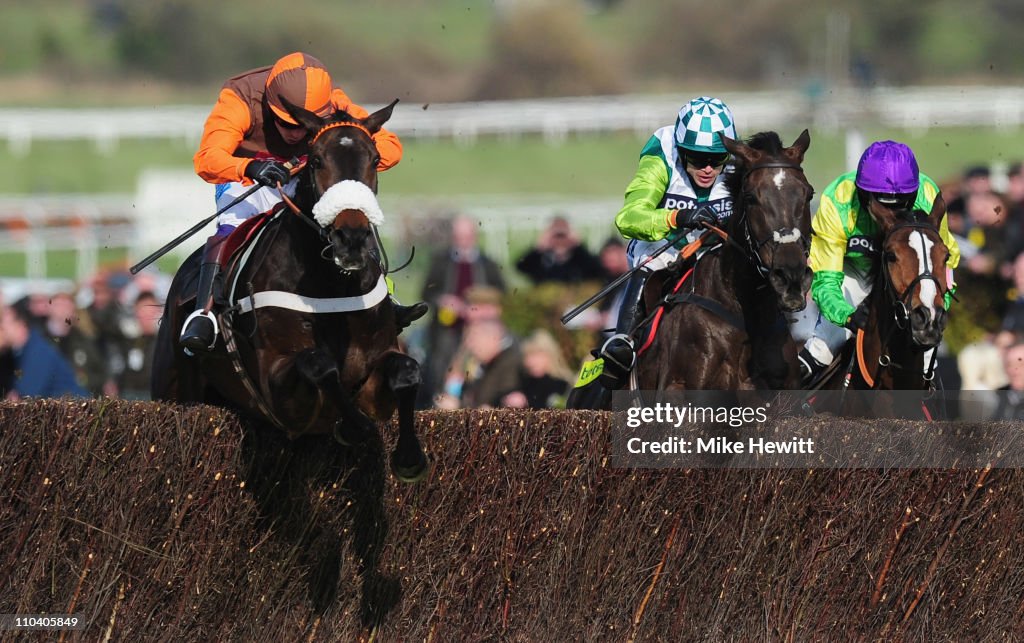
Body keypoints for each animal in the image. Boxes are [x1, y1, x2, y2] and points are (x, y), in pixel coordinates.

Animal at [150, 99, 428, 483]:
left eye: (374, 159)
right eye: (316, 160)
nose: (352, 238)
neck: (331, 286)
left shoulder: (375, 375)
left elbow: (407, 371)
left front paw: (409, 456)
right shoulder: (278, 390)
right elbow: (320, 364)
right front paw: (352, 425)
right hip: (174, 386)